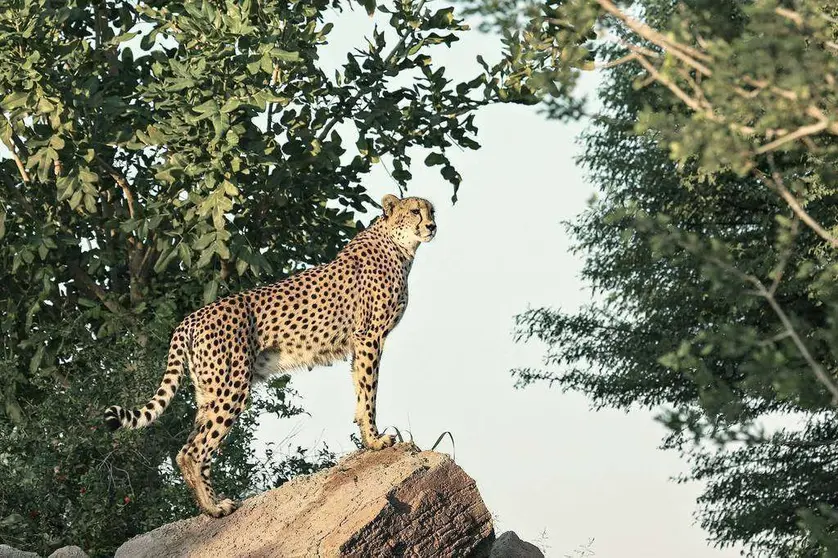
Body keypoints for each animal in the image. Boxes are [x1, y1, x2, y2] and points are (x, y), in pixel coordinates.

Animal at [105, 195, 440, 520]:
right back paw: (215, 509)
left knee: (189, 448)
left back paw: (209, 505)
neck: (398, 246)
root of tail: (191, 318)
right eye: (415, 211)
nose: (432, 226)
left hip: (208, 391)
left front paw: (367, 439)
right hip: (232, 387)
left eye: (432, 210)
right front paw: (375, 440)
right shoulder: (370, 337)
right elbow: (369, 392)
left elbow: (360, 389)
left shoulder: (360, 344)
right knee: (194, 451)